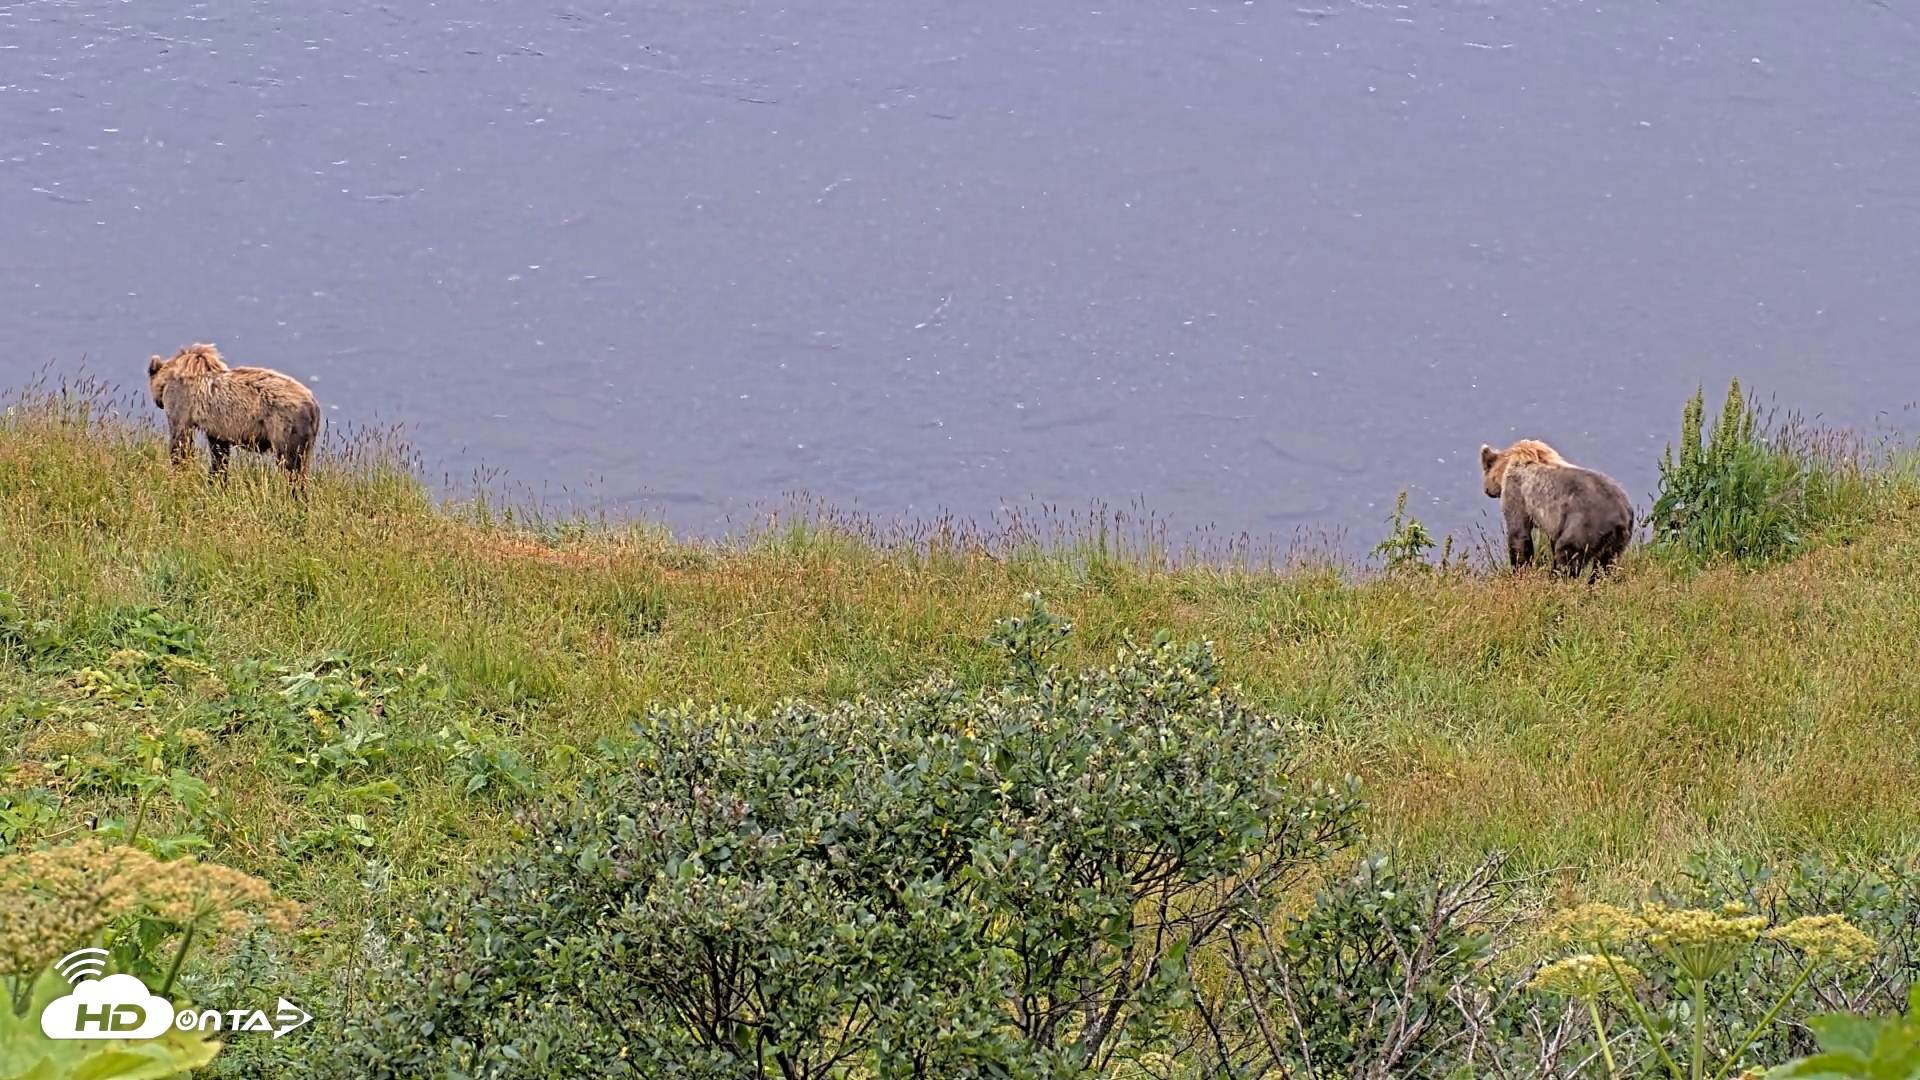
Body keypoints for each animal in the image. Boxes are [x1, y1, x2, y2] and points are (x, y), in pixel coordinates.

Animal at [147, 343, 321, 492]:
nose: (158, 403)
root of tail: (313, 404)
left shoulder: (182, 404)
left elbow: (180, 443)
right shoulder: (217, 427)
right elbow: (219, 454)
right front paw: (216, 483)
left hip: (284, 426)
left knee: (290, 466)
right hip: (306, 438)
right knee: (302, 466)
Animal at [1478, 438, 1634, 579]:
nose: (1486, 490)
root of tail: (1621, 517)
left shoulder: (1518, 494)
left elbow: (1519, 535)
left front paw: (1519, 572)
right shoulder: (1556, 522)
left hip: (1585, 526)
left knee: (1567, 555)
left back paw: (1557, 579)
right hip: (1618, 542)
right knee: (1605, 566)